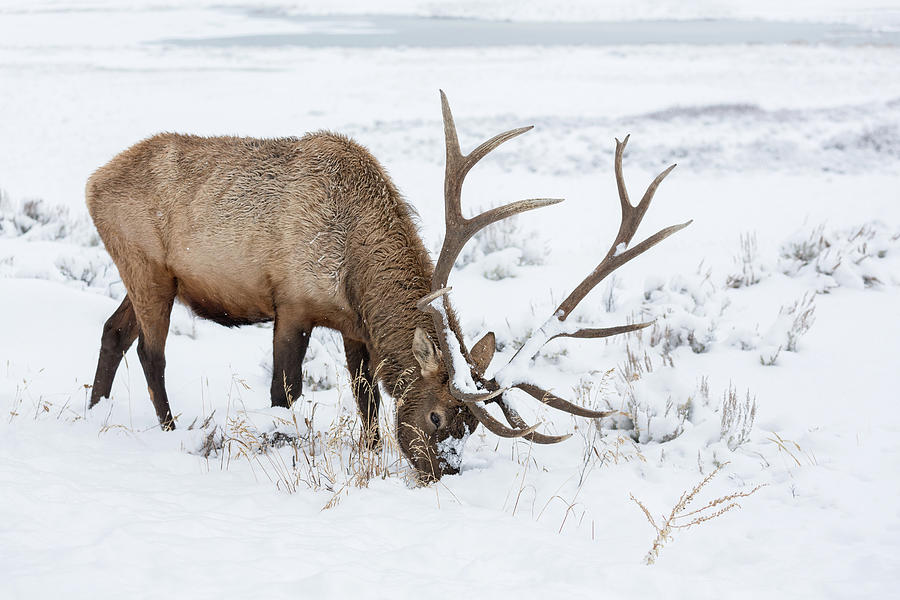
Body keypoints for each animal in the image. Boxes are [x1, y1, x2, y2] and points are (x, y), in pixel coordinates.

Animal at [86, 91, 688, 480]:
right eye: (438, 415)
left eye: (470, 428)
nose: (442, 473)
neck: (354, 265)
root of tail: (91, 181)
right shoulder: (292, 303)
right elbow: (284, 394)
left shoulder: (355, 328)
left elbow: (367, 399)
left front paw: (372, 455)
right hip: (147, 266)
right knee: (151, 350)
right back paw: (169, 431)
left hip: (147, 276)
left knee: (113, 331)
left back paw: (93, 412)